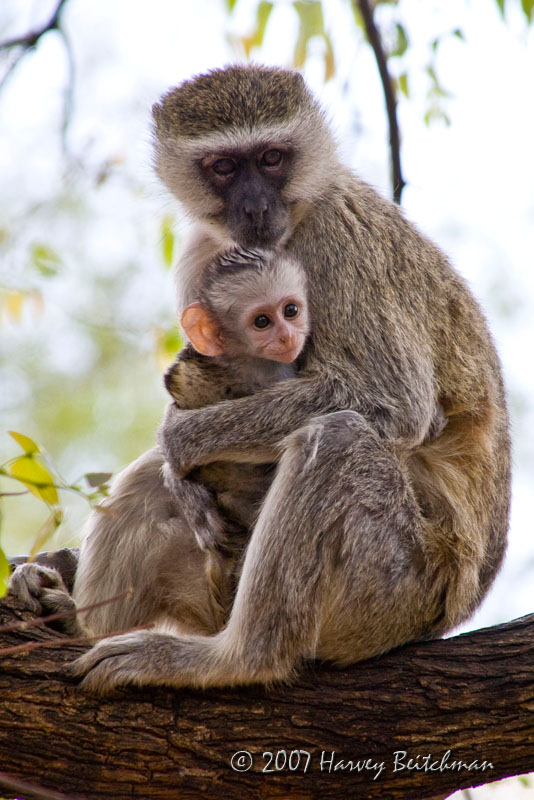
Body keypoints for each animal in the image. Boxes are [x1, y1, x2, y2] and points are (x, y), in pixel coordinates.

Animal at [15, 65, 510, 692]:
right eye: (225, 167)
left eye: (272, 158)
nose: (253, 208)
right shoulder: (201, 254)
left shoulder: (340, 237)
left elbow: (392, 400)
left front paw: (182, 438)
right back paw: (75, 619)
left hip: (392, 592)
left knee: (339, 439)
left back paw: (235, 658)